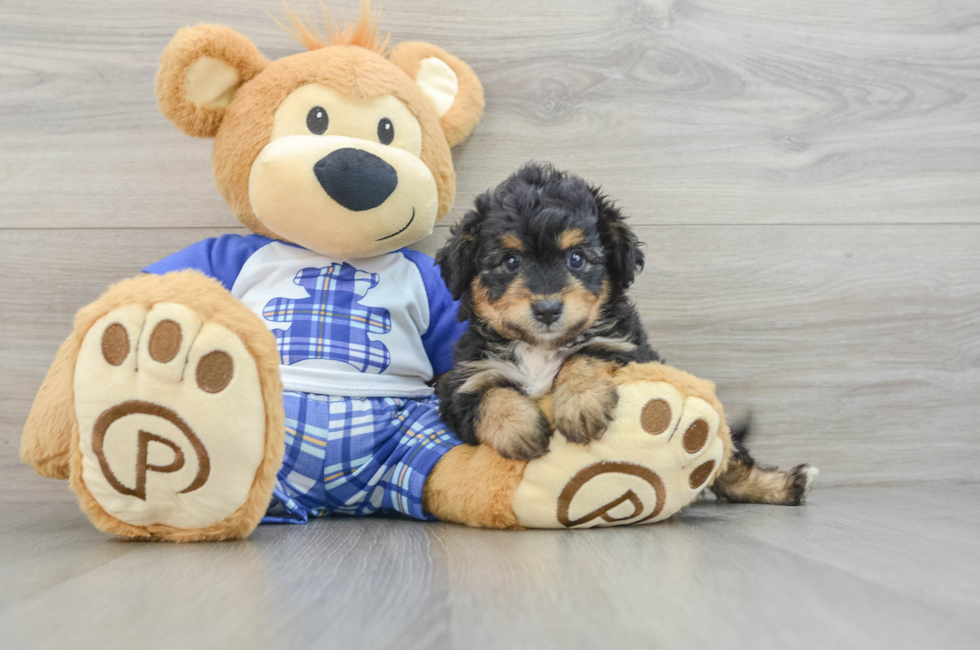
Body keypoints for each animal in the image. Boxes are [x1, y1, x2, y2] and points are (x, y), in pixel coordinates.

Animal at [438, 163, 820, 506]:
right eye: (510, 261)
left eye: (576, 258)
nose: (547, 309)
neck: (541, 348)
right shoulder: (461, 382)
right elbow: (489, 396)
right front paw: (519, 427)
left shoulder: (629, 348)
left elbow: (586, 353)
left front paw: (580, 403)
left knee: (728, 464)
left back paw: (786, 485)